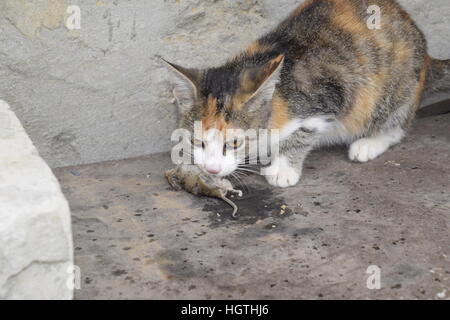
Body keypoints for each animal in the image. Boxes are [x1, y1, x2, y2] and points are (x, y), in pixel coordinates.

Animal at [163, 0, 450, 189]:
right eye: (196, 141)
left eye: (234, 143)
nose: (211, 168)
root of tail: (427, 56)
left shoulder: (328, 96)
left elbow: (303, 133)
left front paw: (283, 168)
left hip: (395, 90)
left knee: (396, 124)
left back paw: (368, 143)